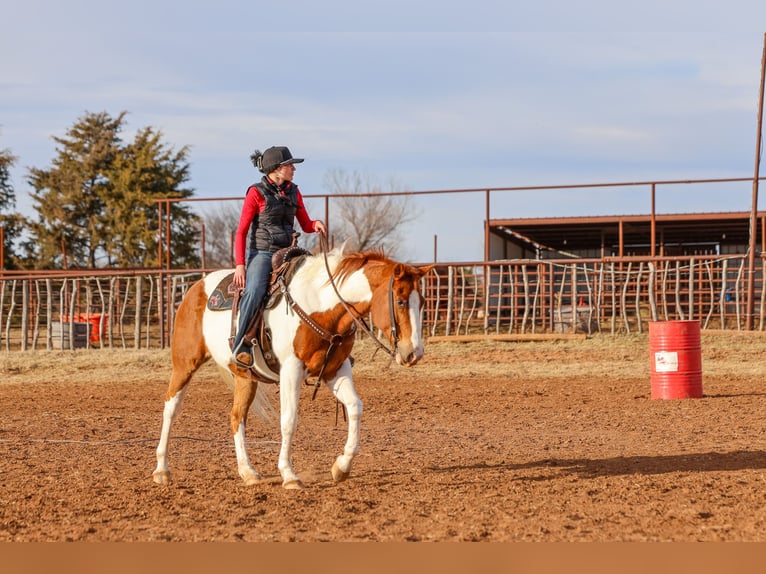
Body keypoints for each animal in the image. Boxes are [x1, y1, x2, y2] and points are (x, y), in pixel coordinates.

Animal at [152, 247, 432, 489]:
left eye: (423, 302)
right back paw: (162, 470)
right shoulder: (291, 370)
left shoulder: (335, 370)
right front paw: (289, 475)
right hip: (184, 364)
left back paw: (248, 472)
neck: (320, 305)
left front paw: (341, 467)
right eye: (400, 301)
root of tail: (196, 287)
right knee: (170, 409)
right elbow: (289, 420)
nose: (414, 353)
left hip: (245, 377)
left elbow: (355, 407)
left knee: (236, 417)